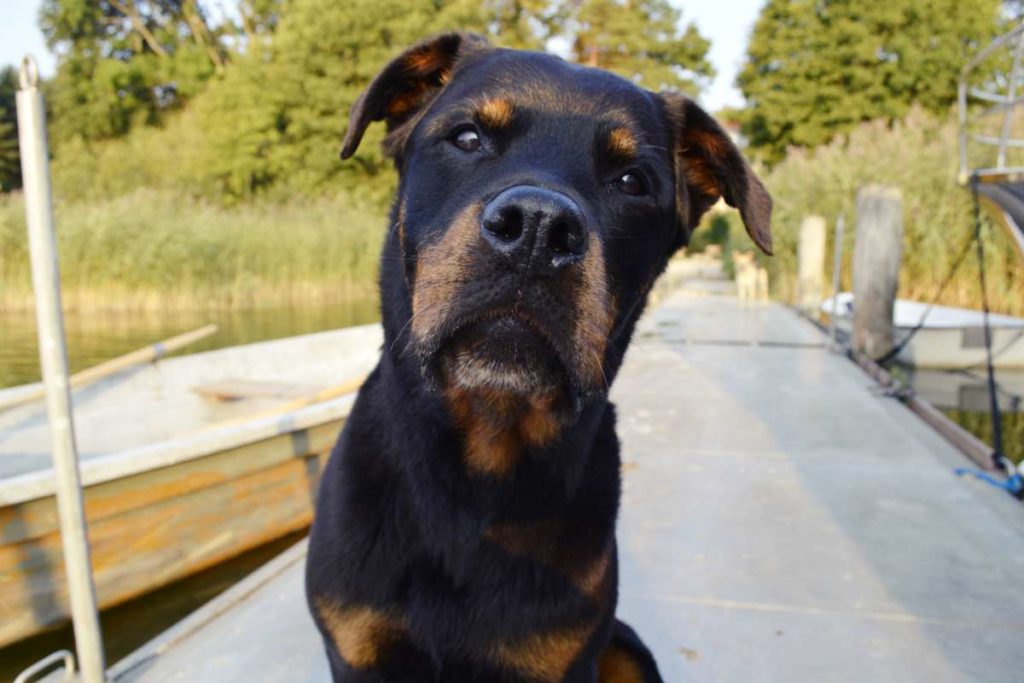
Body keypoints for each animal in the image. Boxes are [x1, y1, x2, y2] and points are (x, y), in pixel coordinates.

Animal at [307, 33, 770, 683]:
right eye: (467, 137)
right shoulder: (357, 646)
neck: (473, 483)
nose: (537, 228)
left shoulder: (560, 655)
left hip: (625, 648)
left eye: (632, 179)